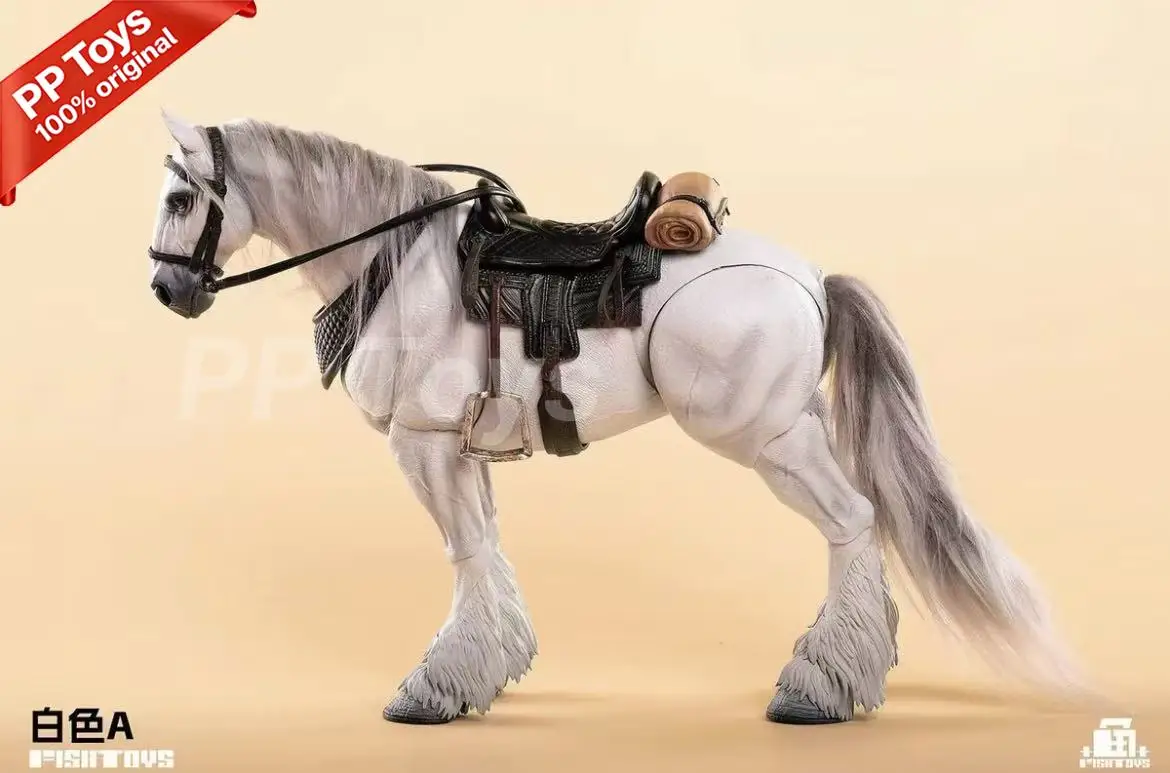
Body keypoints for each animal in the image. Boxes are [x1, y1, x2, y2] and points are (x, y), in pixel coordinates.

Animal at [145, 112, 1079, 726]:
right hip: (797, 427)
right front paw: (490, 669)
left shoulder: (423, 445)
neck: (396, 262)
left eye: (181, 200)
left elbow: (464, 552)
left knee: (852, 521)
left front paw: (433, 688)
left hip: (767, 439)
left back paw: (818, 688)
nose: (167, 288)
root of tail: (815, 277)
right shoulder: (463, 448)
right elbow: (486, 549)